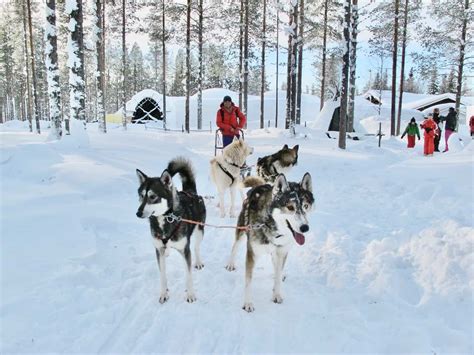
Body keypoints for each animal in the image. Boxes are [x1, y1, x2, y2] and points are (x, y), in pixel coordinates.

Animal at [135, 159, 206, 306]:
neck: (166, 219)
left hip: (200, 230)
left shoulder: (185, 251)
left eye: (153, 197)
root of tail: (190, 192)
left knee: (196, 247)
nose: (138, 213)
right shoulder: (158, 250)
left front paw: (190, 294)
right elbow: (162, 275)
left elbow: (188, 275)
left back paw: (198, 261)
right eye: (141, 196)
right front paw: (164, 294)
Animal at [226, 173, 314, 312]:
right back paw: (230, 263)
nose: (305, 228)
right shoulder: (252, 254)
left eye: (306, 206)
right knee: (235, 246)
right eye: (290, 207)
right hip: (241, 230)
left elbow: (278, 276)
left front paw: (276, 294)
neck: (271, 224)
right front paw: (248, 303)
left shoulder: (282, 252)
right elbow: (248, 281)